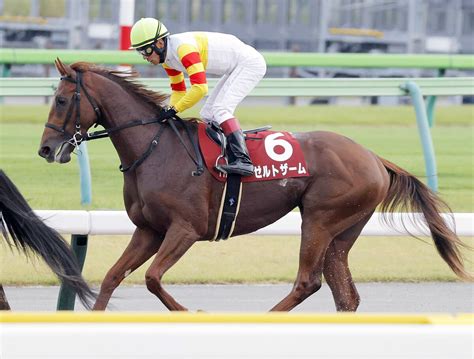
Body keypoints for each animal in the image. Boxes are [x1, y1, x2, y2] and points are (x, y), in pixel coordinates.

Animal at [38, 59, 470, 312]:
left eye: (61, 100)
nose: (45, 148)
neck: (156, 149)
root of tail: (375, 157)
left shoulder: (185, 229)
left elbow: (152, 278)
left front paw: (190, 313)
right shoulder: (148, 230)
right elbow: (113, 277)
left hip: (320, 219)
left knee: (308, 281)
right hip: (344, 231)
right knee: (344, 294)